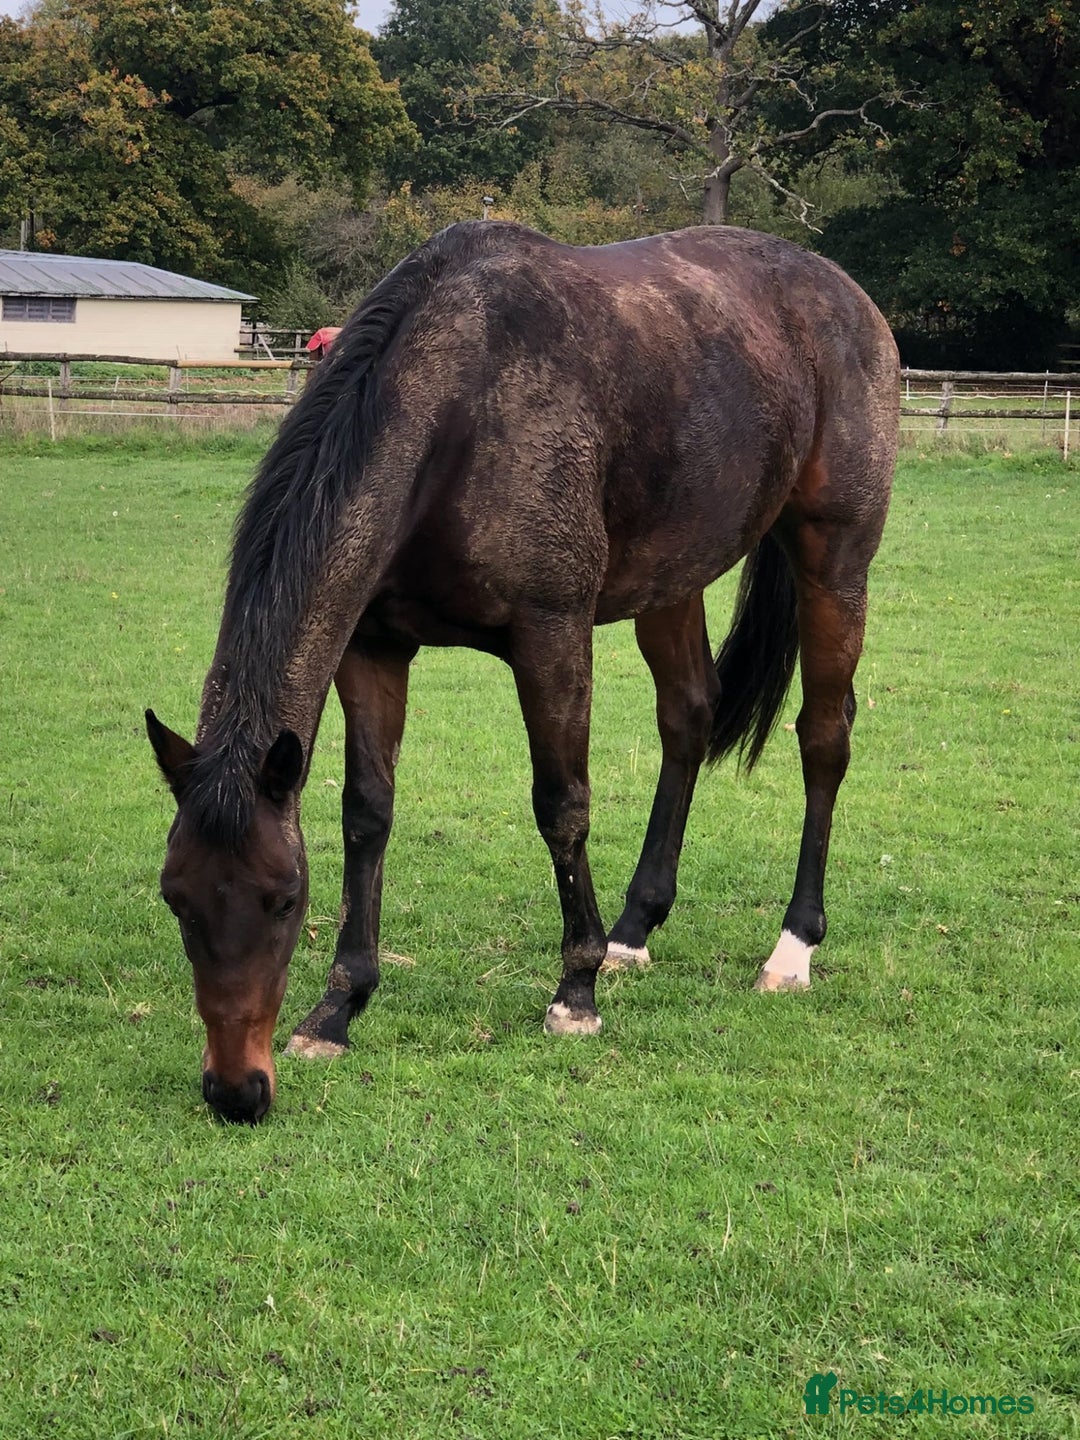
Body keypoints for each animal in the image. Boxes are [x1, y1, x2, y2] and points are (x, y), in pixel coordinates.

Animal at [146, 220, 898, 1124]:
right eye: (176, 896)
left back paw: (791, 949)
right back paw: (634, 929)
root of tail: (842, 292)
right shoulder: (372, 648)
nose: (236, 1091)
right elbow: (368, 814)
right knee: (688, 717)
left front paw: (575, 992)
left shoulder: (552, 635)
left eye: (284, 898)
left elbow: (562, 808)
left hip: (835, 559)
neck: (460, 410)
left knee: (824, 738)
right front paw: (338, 1007)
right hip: (670, 581)